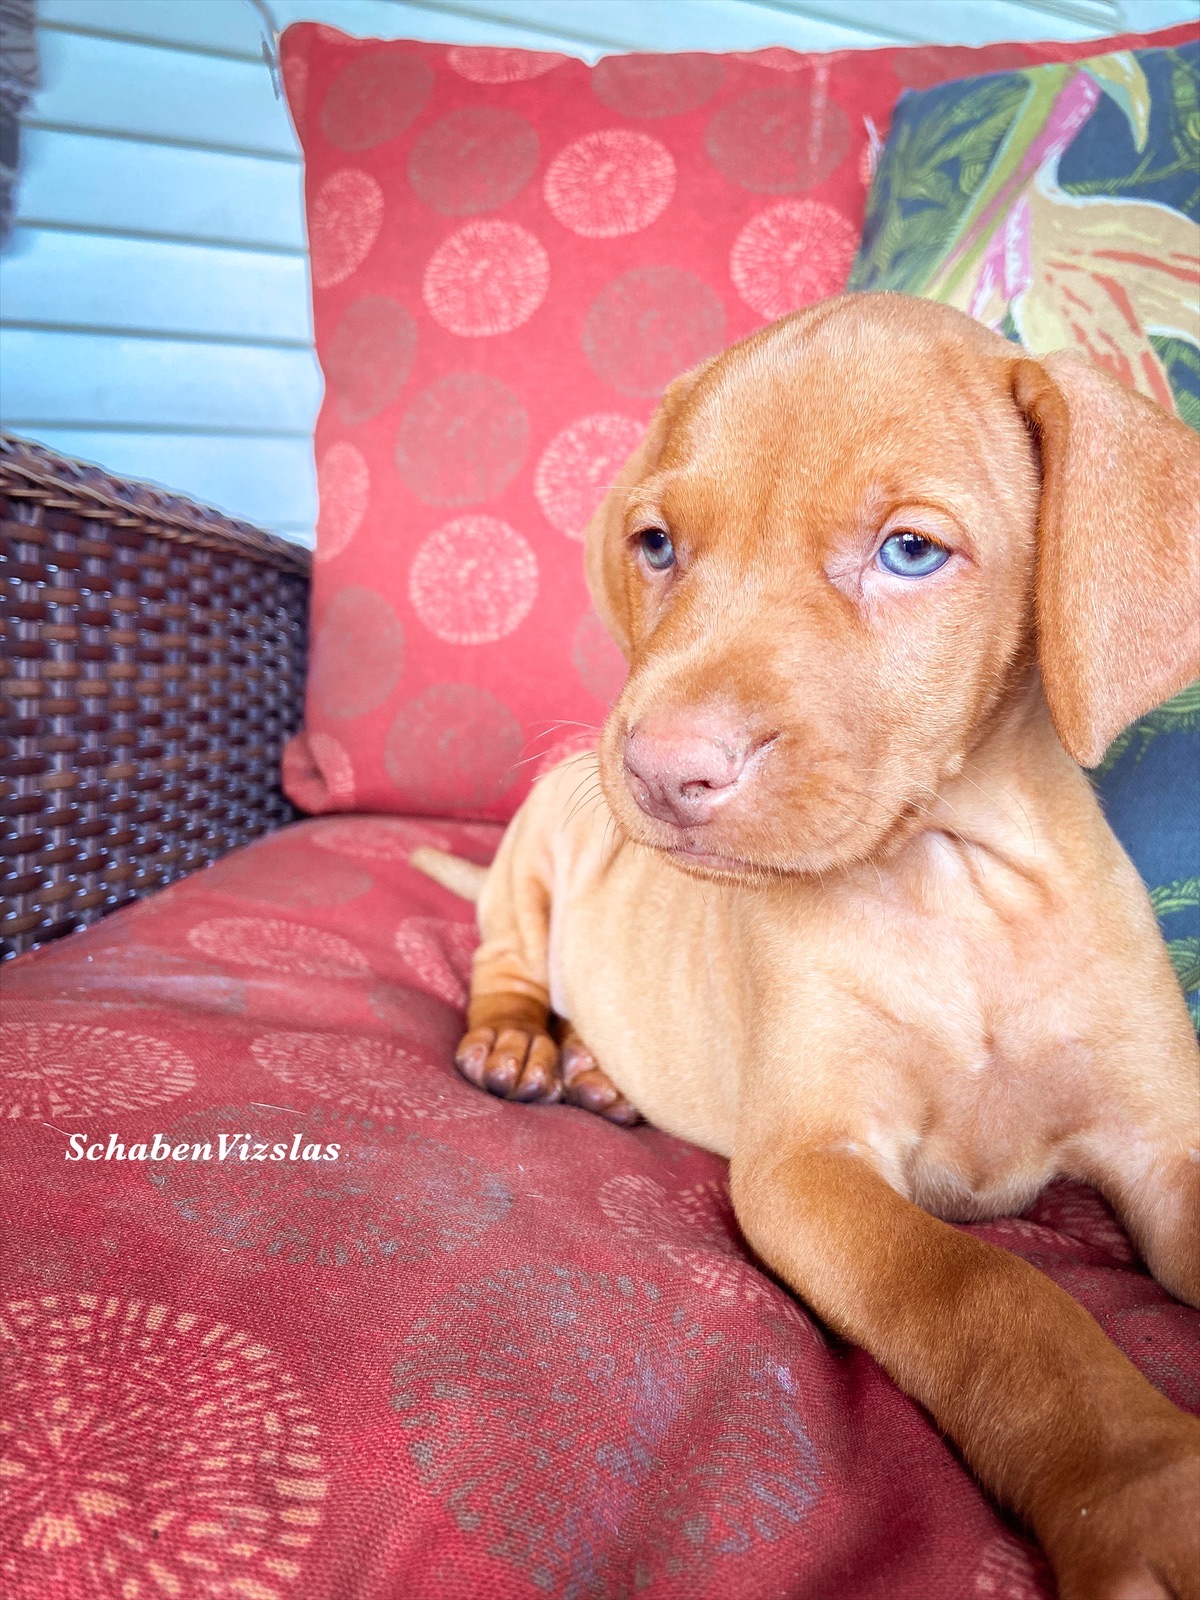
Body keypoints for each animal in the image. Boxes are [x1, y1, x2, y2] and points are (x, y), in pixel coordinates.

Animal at [419, 294, 1196, 1593]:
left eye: (911, 552)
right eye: (657, 546)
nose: (658, 770)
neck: (957, 883)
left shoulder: (1162, 1141)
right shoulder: (810, 1165)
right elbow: (988, 1292)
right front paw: (1140, 1489)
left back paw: (600, 1071)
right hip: (534, 845)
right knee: (507, 961)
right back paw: (524, 1045)